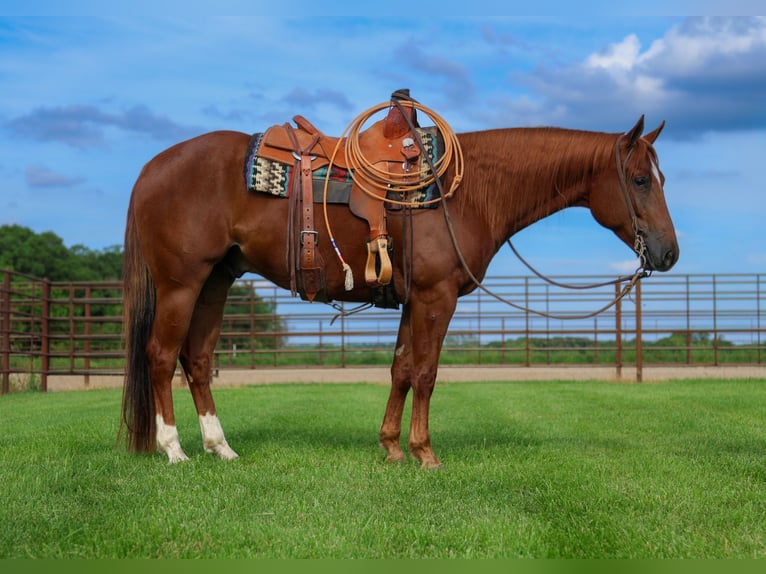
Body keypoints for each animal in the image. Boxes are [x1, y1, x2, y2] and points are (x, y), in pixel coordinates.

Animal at [119, 114, 678, 468]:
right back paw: (174, 450)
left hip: (216, 281)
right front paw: (425, 453)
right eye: (639, 179)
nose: (669, 253)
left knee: (196, 360)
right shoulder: (436, 296)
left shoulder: (414, 300)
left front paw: (390, 447)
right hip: (181, 284)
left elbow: (402, 370)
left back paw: (221, 448)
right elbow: (426, 373)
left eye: (662, 177)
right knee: (161, 356)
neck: (463, 192)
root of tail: (151, 168)